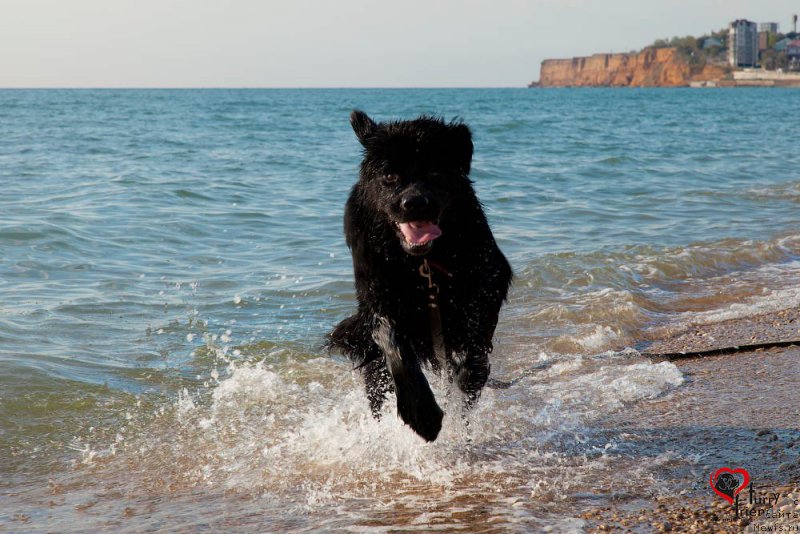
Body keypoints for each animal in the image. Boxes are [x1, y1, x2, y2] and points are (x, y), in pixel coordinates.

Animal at [330, 110, 512, 444]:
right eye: (390, 176)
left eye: (436, 171)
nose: (414, 203)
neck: (421, 264)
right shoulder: (377, 296)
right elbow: (394, 345)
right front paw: (422, 414)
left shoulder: (489, 279)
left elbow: (473, 349)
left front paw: (467, 374)